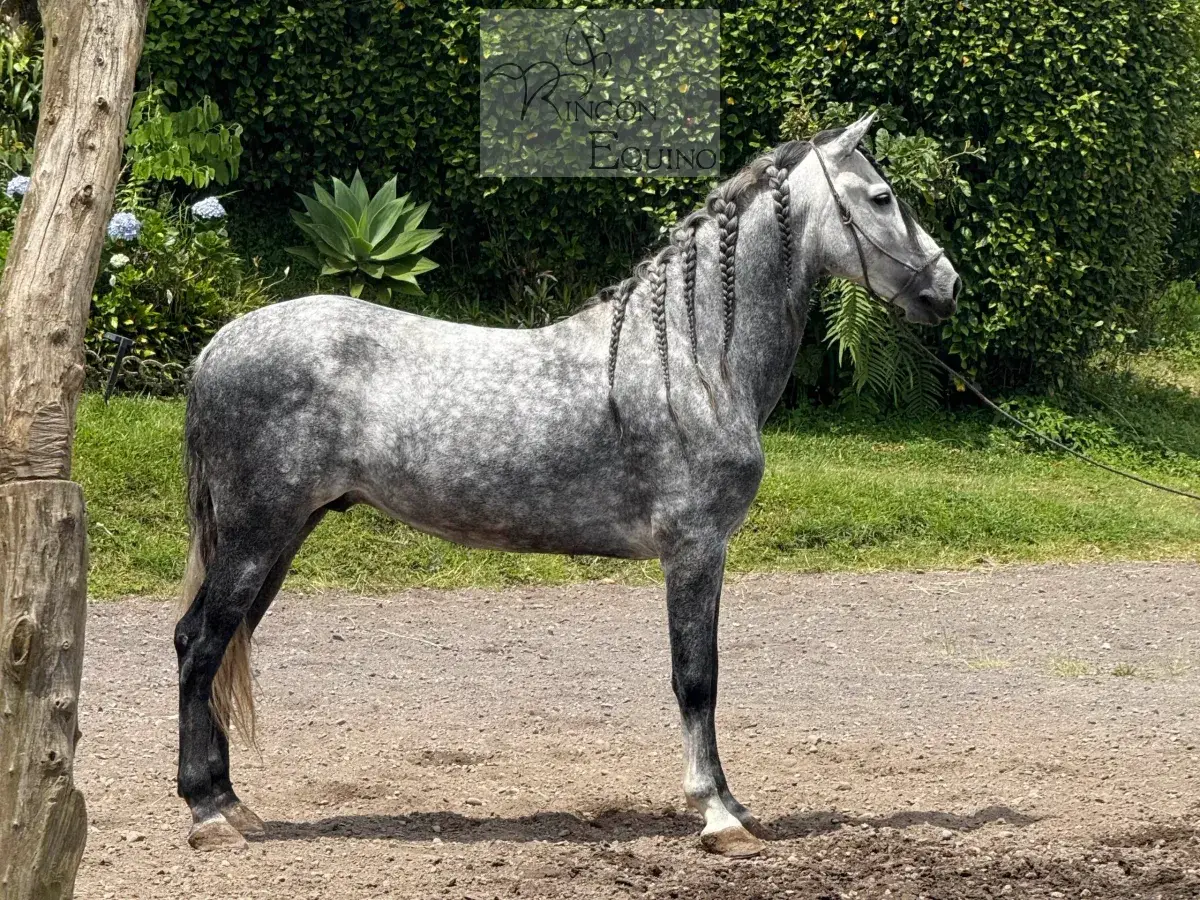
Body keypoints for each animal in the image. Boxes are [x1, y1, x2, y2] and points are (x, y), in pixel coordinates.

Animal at [174, 113, 960, 856]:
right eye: (882, 197)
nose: (946, 285)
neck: (692, 358)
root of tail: (219, 345)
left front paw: (731, 806)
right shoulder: (695, 549)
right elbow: (696, 678)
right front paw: (716, 813)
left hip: (281, 537)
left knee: (220, 645)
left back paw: (231, 802)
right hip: (257, 535)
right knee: (200, 643)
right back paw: (208, 810)